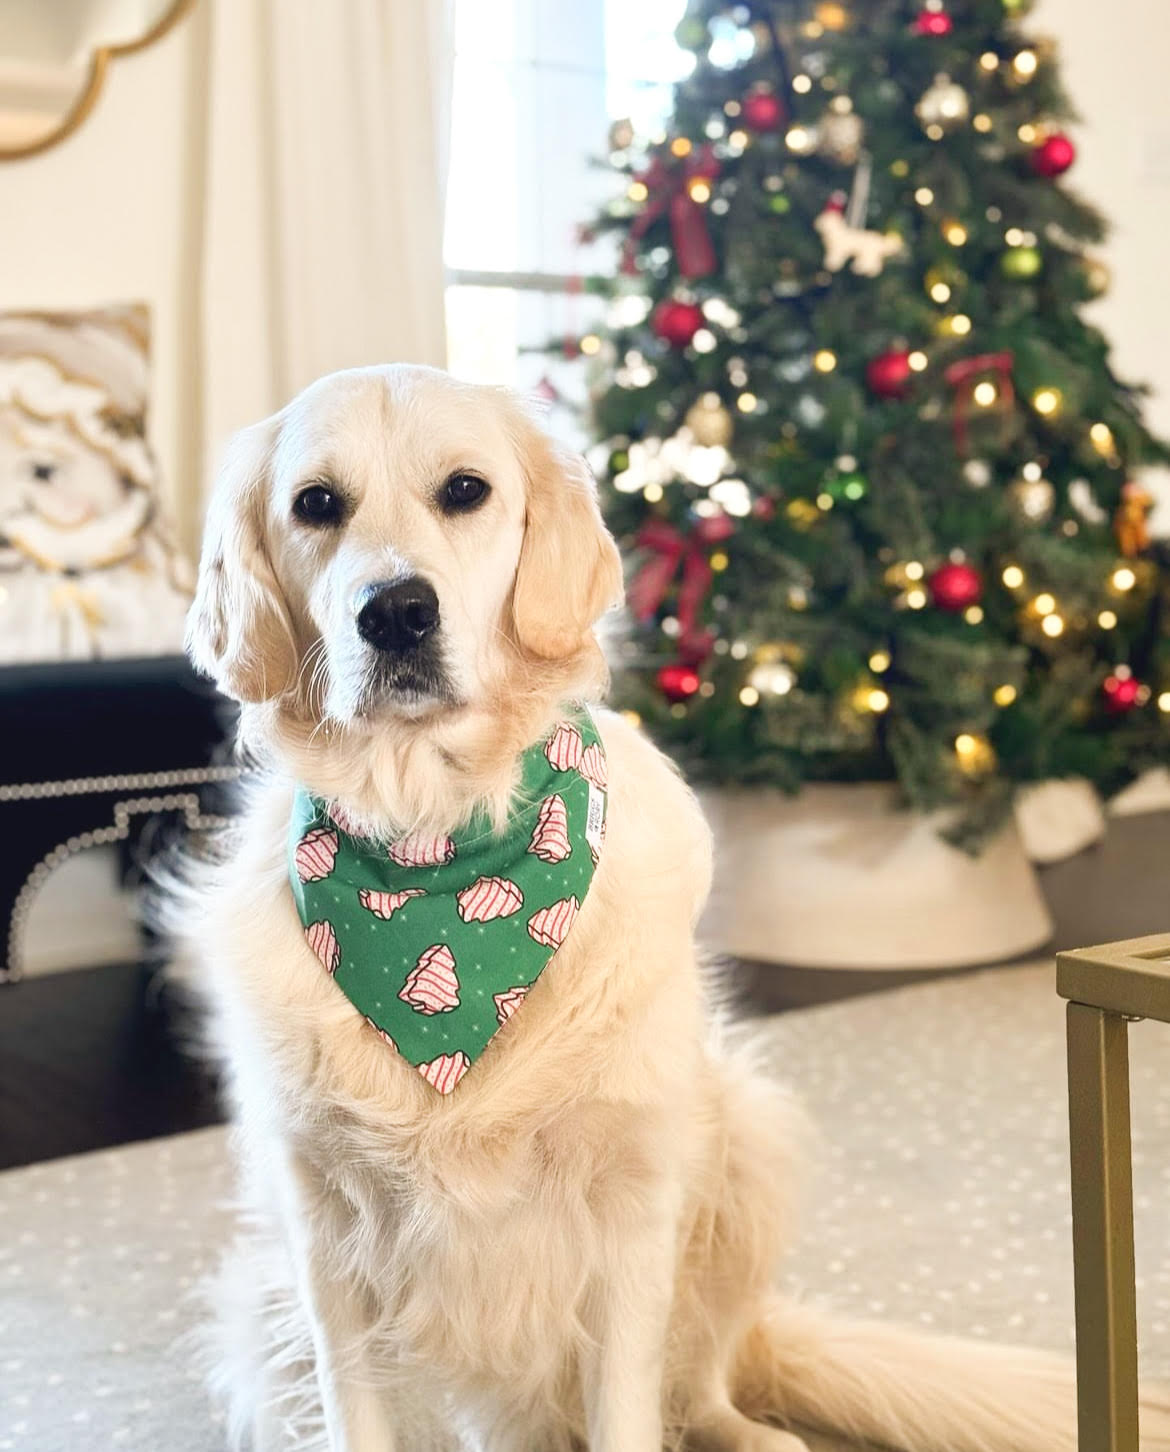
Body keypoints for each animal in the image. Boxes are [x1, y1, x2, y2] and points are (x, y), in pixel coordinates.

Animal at [176, 365, 1170, 1452]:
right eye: (316, 504)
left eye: (466, 491)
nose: (395, 612)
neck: (434, 846)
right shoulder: (325, 1234)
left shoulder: (630, 1208)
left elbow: (632, 1409)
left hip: (744, 1138)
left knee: (705, 1387)